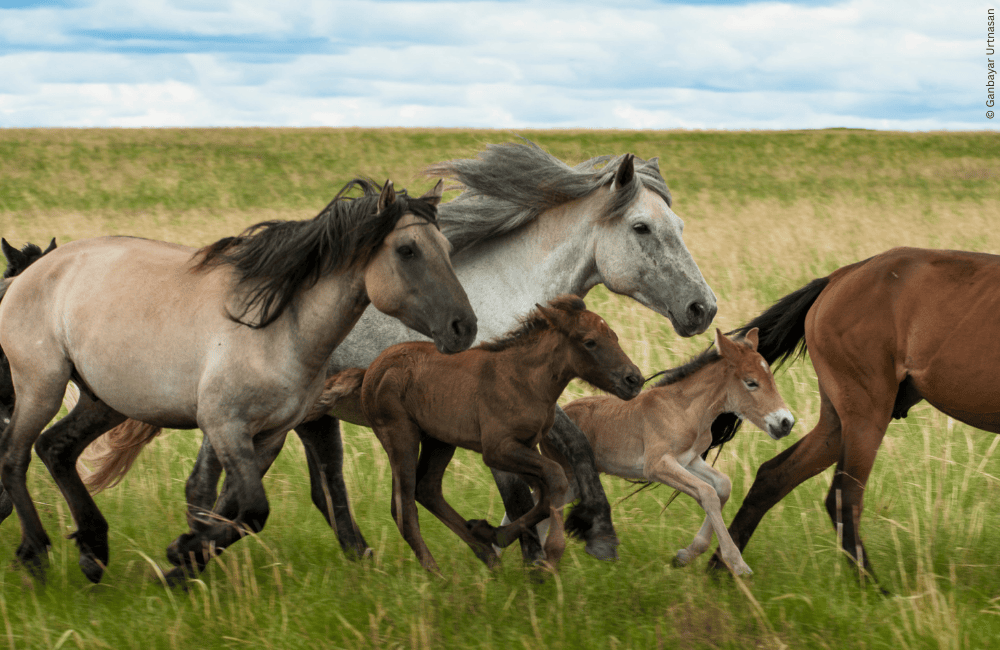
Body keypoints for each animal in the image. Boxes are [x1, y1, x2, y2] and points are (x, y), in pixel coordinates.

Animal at [0, 179, 477, 584]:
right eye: (407, 250)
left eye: (446, 247)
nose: (464, 328)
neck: (278, 328)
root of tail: (30, 273)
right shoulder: (225, 425)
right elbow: (250, 510)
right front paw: (183, 552)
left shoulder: (268, 434)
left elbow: (231, 509)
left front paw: (185, 557)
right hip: (41, 386)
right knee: (15, 456)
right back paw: (35, 554)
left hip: (103, 399)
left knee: (55, 448)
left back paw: (93, 550)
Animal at [360, 295, 643, 572]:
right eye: (590, 342)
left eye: (615, 337)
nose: (634, 380)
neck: (524, 380)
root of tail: (372, 370)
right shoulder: (497, 449)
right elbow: (556, 478)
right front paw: (551, 554)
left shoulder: (525, 446)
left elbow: (542, 495)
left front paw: (492, 533)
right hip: (400, 435)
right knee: (403, 506)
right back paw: (436, 573)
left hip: (439, 440)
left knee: (427, 488)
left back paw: (486, 554)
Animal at [535, 328, 793, 575]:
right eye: (751, 382)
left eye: (771, 378)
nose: (786, 422)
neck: (685, 410)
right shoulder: (656, 465)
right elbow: (707, 493)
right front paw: (737, 564)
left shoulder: (690, 460)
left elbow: (722, 486)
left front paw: (688, 554)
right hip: (569, 477)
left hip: (577, 483)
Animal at [702, 247, 1000, 585]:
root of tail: (839, 277)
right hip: (866, 414)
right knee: (843, 496)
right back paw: (872, 586)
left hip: (837, 423)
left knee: (773, 476)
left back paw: (721, 568)